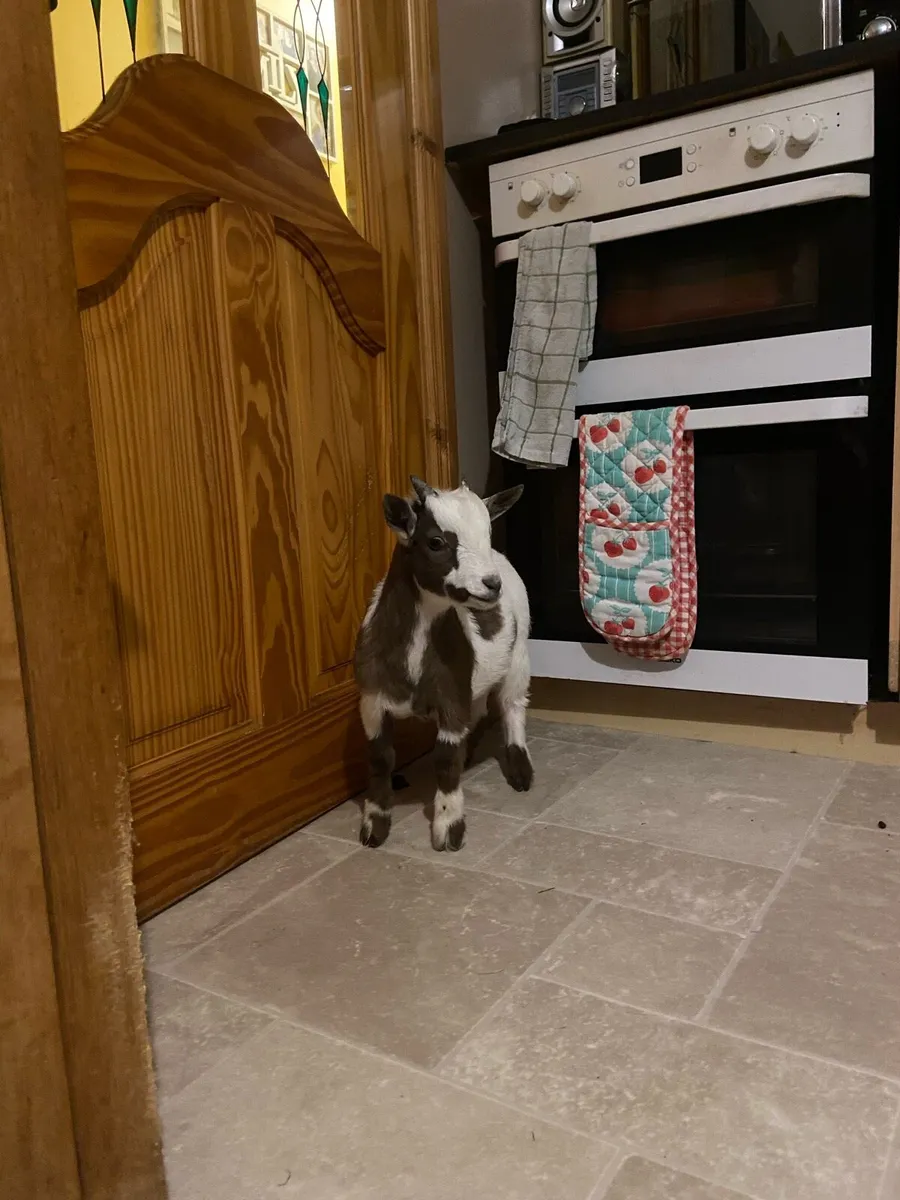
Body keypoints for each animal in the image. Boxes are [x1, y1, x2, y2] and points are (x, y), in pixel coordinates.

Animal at [353, 475, 533, 852]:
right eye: (436, 542)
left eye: (487, 534)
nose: (491, 584)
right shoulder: (372, 699)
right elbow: (379, 757)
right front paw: (374, 826)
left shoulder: (451, 696)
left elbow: (444, 760)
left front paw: (449, 828)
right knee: (480, 708)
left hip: (520, 653)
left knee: (512, 703)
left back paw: (520, 769)